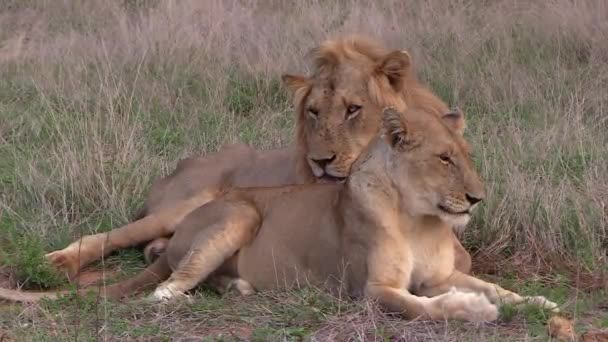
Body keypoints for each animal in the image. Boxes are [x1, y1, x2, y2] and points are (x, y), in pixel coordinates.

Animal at [0, 105, 560, 322]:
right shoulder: (370, 290)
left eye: (466, 156)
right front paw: (474, 309)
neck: (420, 219)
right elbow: (425, 306)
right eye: (444, 159)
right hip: (234, 213)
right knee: (162, 287)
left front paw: (537, 303)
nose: (477, 198)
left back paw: (238, 286)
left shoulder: (441, 272)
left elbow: (497, 287)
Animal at [40, 35, 472, 284]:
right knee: (107, 236)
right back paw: (56, 263)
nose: (320, 161)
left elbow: (461, 259)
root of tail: (182, 164)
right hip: (183, 206)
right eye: (313, 112)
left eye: (353, 109)